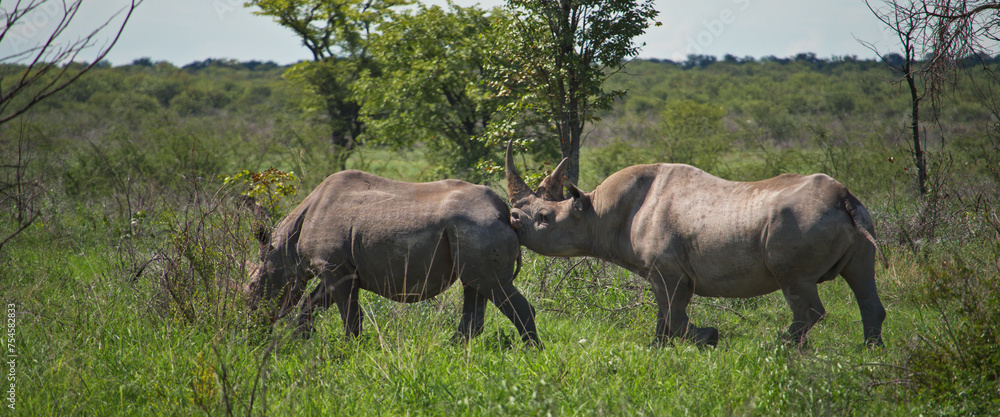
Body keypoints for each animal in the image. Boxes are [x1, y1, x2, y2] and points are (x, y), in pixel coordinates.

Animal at [246, 170, 539, 346]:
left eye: (251, 286)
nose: (252, 328)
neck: (284, 249)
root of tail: (504, 211)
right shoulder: (336, 269)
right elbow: (310, 305)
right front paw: (299, 343)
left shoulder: (334, 267)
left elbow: (350, 316)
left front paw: (350, 350)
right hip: (474, 229)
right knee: (476, 286)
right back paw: (452, 349)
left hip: (479, 226)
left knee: (491, 285)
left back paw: (531, 352)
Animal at [505, 141, 885, 347]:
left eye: (544, 218)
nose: (513, 220)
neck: (597, 211)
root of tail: (843, 196)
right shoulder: (660, 270)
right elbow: (664, 313)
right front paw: (656, 347)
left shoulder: (669, 269)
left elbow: (674, 313)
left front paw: (709, 337)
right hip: (858, 218)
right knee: (862, 278)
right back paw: (869, 352)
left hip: (798, 227)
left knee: (797, 288)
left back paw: (776, 346)